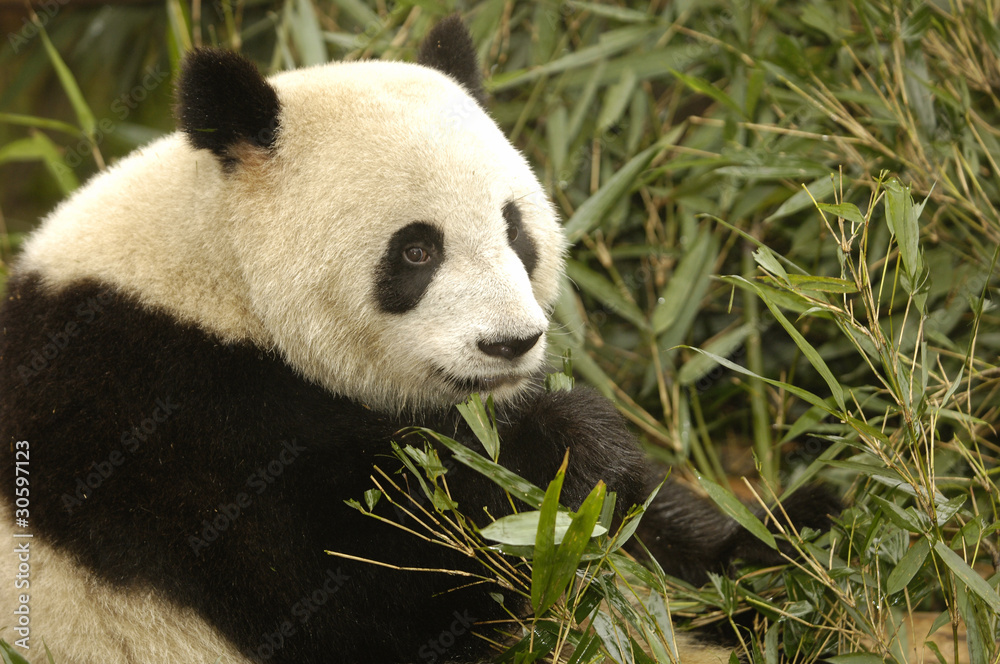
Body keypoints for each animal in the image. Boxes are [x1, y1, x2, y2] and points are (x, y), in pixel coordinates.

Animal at [0, 17, 833, 664]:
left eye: (515, 228)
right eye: (416, 250)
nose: (511, 344)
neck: (215, 279)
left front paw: (790, 533)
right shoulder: (172, 435)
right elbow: (376, 585)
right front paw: (563, 446)